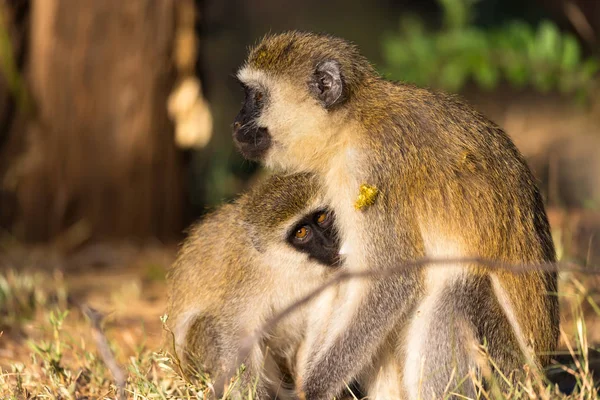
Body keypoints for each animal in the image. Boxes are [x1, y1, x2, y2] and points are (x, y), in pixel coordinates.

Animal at [166, 173, 350, 400]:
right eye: (301, 232)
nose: (329, 242)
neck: (289, 267)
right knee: (207, 325)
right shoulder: (248, 279)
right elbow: (238, 333)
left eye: (322, 218)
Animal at [232, 32, 560, 400]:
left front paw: (314, 389)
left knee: (457, 288)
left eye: (257, 97)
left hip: (506, 374)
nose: (237, 123)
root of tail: (540, 376)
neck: (352, 123)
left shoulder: (370, 168)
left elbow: (391, 278)